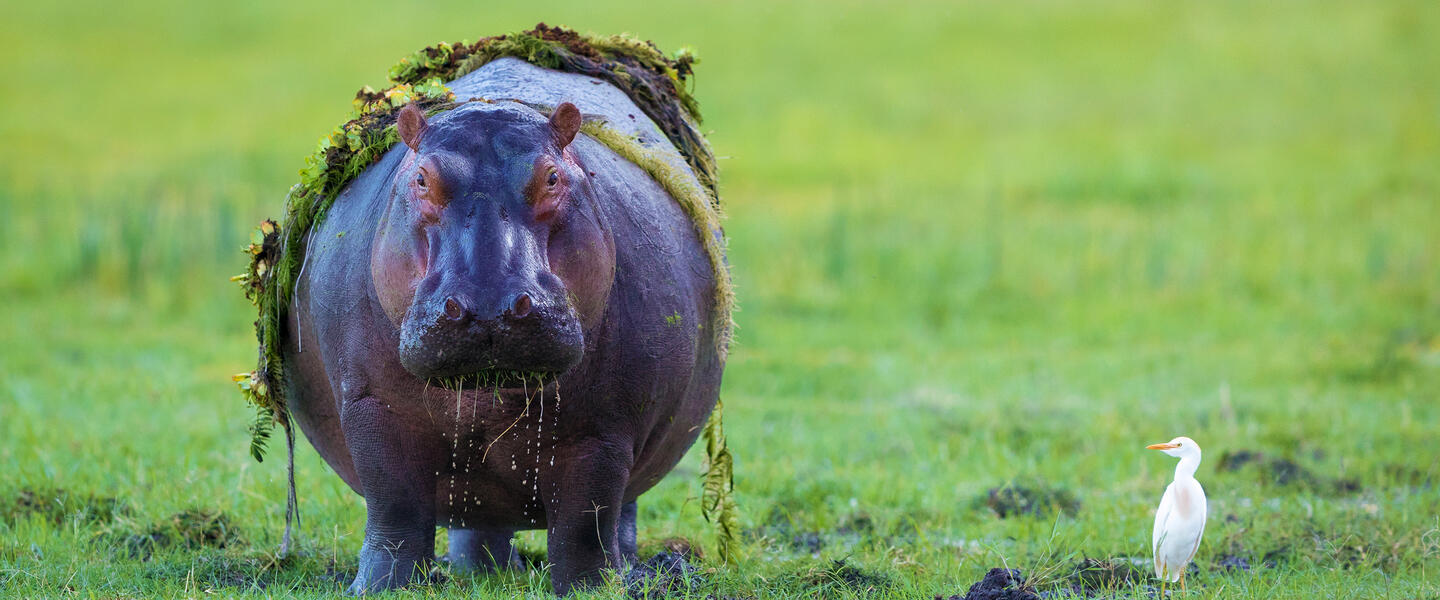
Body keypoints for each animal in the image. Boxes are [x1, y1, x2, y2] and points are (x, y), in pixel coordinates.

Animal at [280, 57, 725, 592]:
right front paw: (380, 590)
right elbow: (394, 509)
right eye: (422, 179)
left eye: (552, 177)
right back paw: (482, 573)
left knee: (619, 513)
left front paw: (591, 590)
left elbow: (586, 520)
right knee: (477, 524)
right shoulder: (371, 405)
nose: (489, 305)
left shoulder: (605, 425)